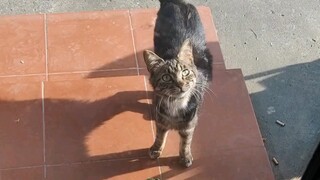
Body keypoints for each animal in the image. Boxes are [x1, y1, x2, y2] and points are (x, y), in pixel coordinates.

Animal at [143, 0, 212, 167]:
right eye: (166, 77)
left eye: (185, 72)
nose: (181, 85)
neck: (176, 103)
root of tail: (177, 2)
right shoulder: (161, 121)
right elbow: (160, 136)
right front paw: (156, 149)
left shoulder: (189, 124)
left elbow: (186, 142)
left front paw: (185, 156)